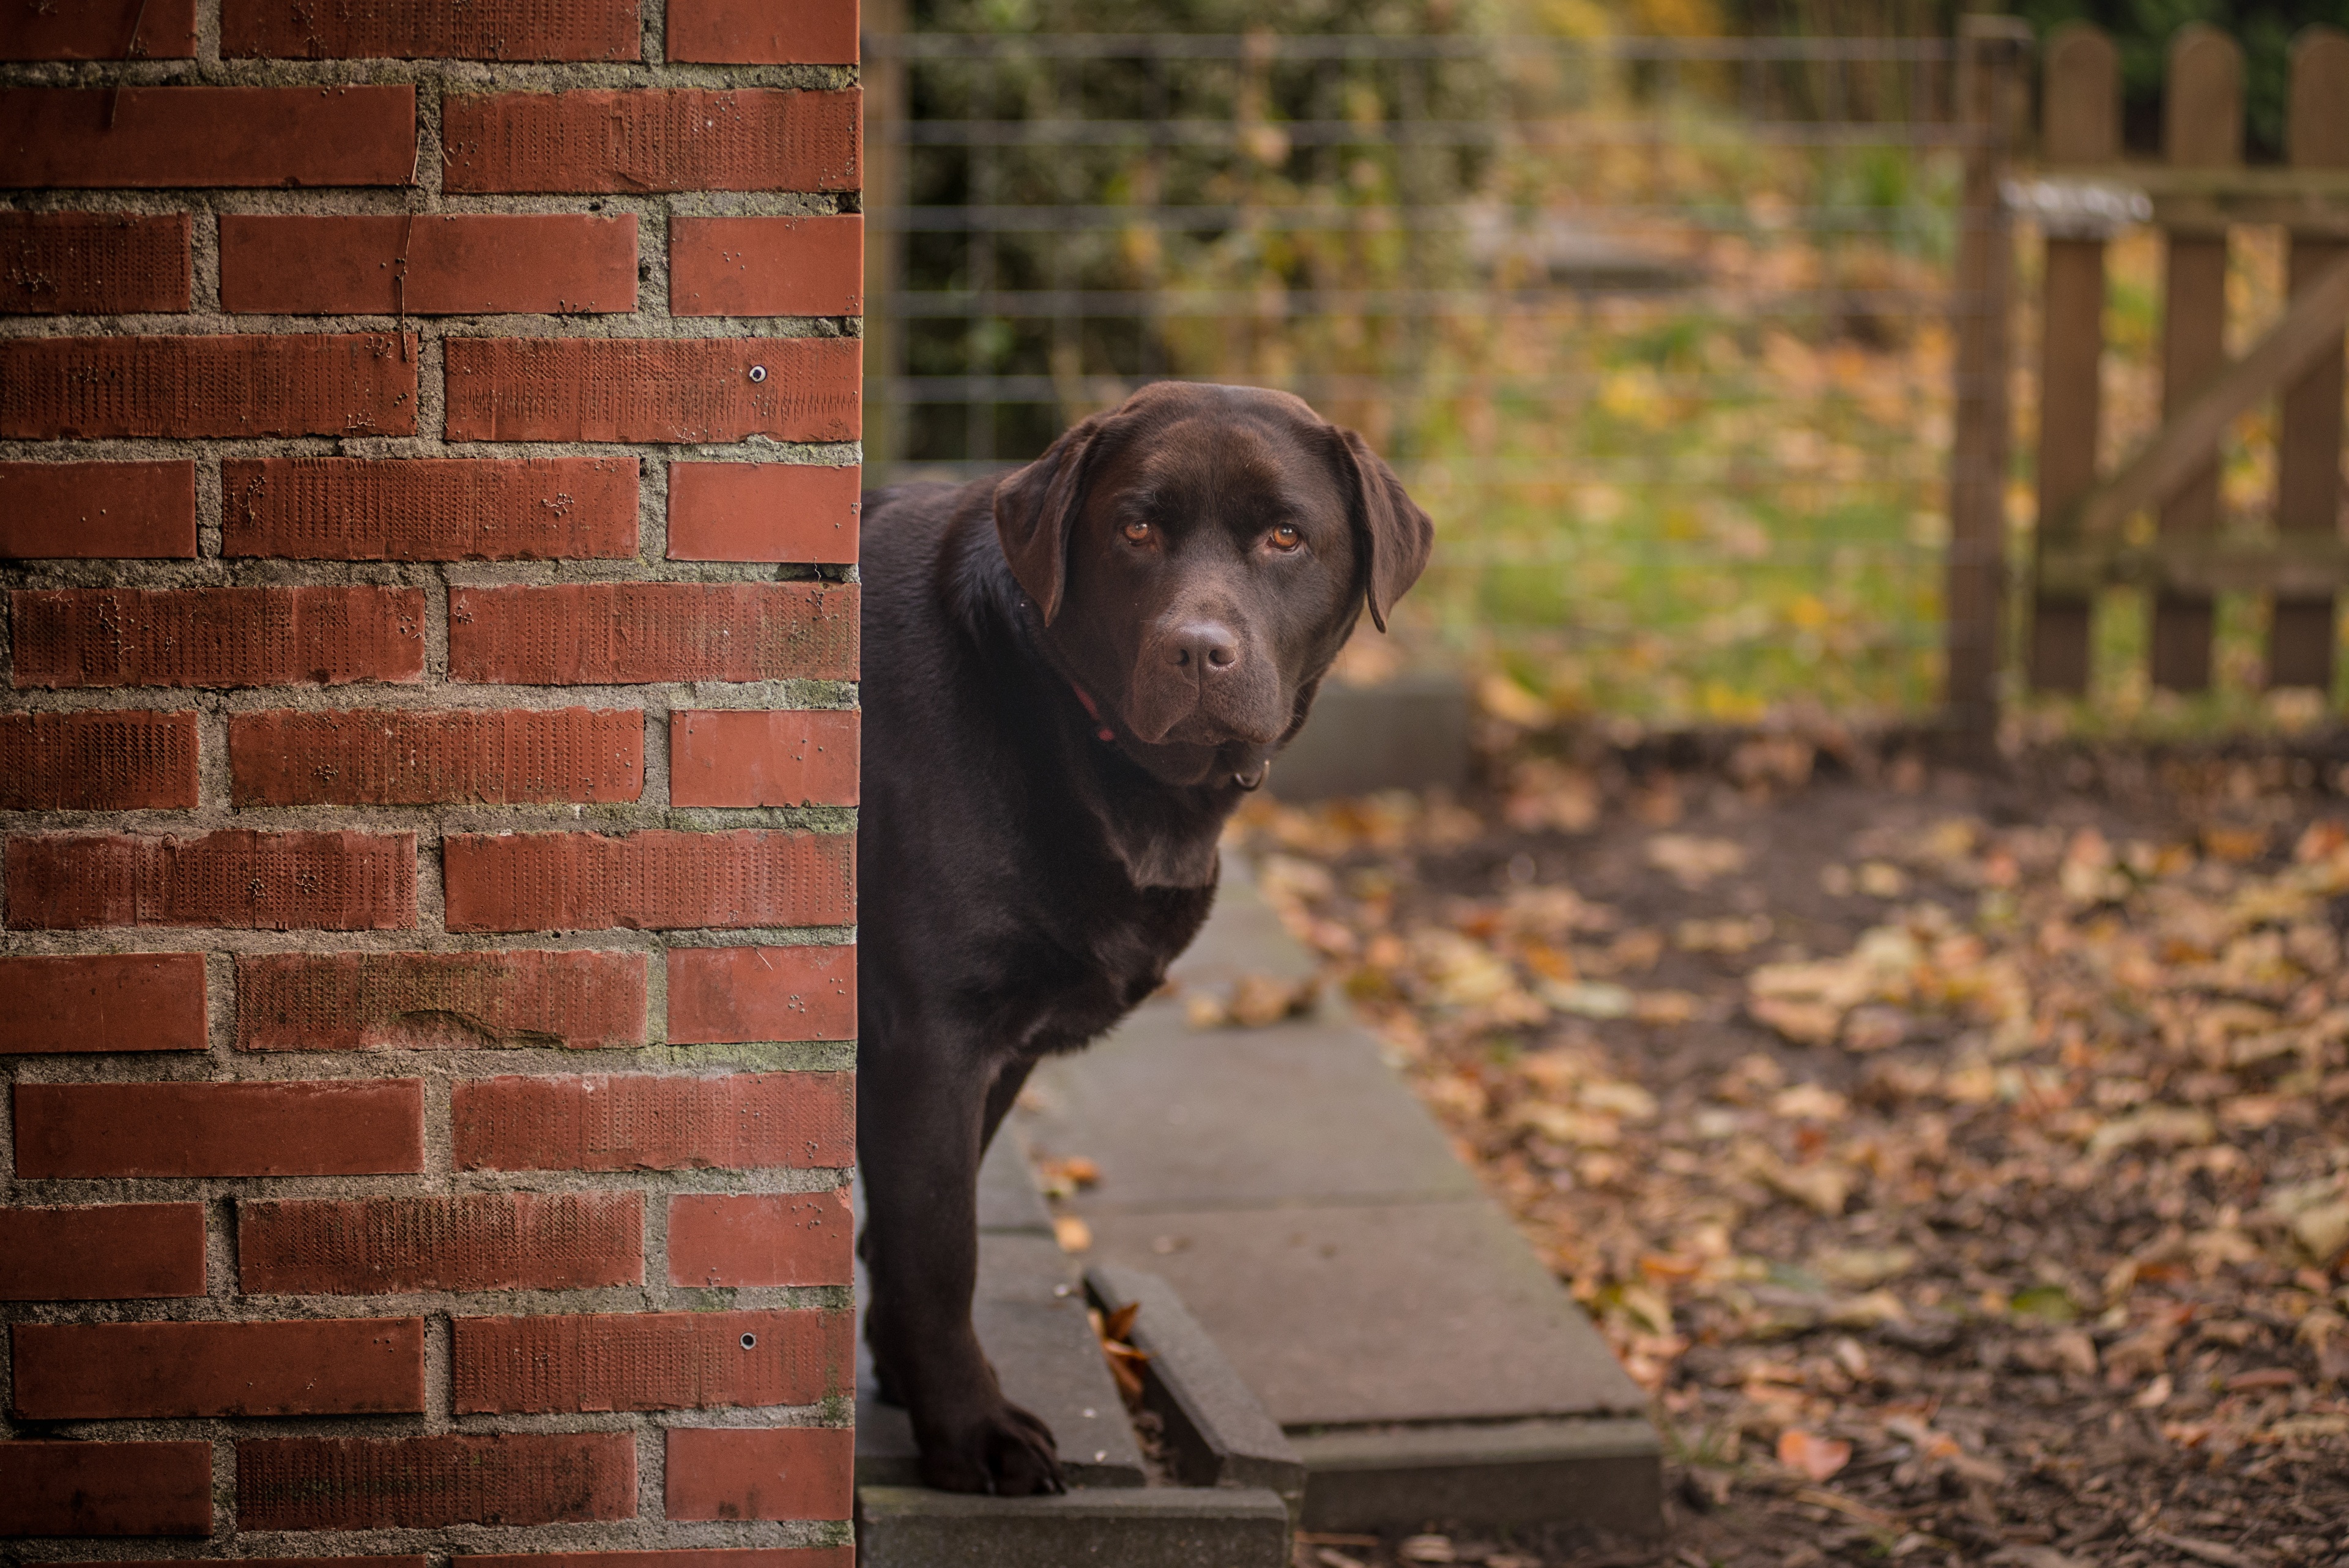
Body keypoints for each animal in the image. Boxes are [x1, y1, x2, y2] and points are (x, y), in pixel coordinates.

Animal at [850, 383, 1419, 1495]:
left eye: (1286, 535)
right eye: (1136, 529)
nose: (1199, 648)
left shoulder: (996, 1051)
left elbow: (911, 1233)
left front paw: (904, 1374)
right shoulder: (929, 1036)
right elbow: (941, 1248)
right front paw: (970, 1430)